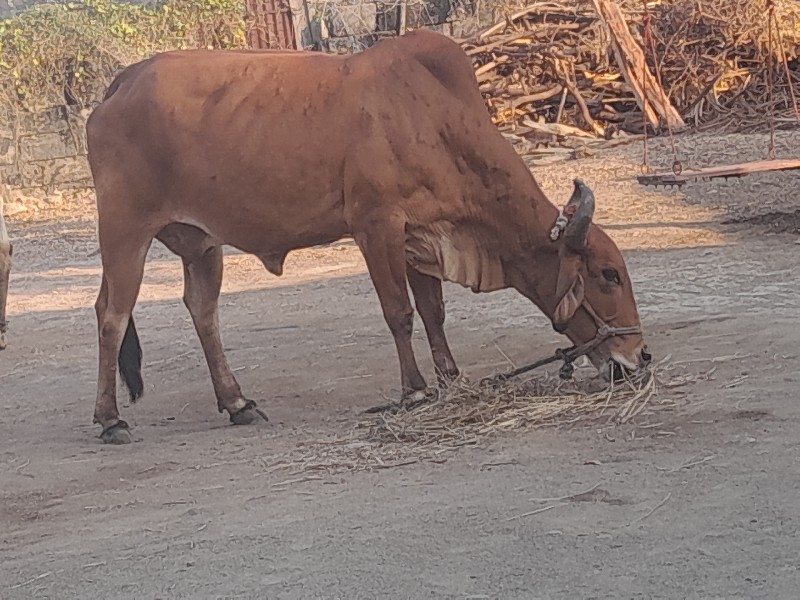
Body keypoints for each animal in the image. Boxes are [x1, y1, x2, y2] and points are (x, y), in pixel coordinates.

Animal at [87, 29, 648, 446]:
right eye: (607, 275)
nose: (639, 358)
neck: (435, 117)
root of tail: (121, 83)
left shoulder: (422, 237)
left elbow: (433, 312)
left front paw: (451, 380)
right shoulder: (376, 226)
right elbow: (399, 313)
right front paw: (415, 392)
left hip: (202, 243)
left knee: (201, 310)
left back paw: (237, 403)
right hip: (124, 232)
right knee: (112, 315)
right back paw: (111, 419)